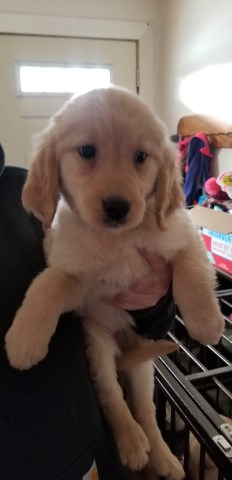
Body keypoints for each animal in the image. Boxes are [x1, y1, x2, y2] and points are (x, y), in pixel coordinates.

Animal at [4, 88, 224, 478]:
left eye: (140, 157)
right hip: (98, 343)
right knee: (113, 398)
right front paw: (24, 340)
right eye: (87, 151)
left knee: (147, 412)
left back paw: (164, 458)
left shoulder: (182, 234)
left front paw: (207, 322)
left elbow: (192, 269)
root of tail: (125, 351)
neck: (119, 238)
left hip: (144, 365)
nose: (118, 207)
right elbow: (49, 282)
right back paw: (132, 443)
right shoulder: (82, 285)